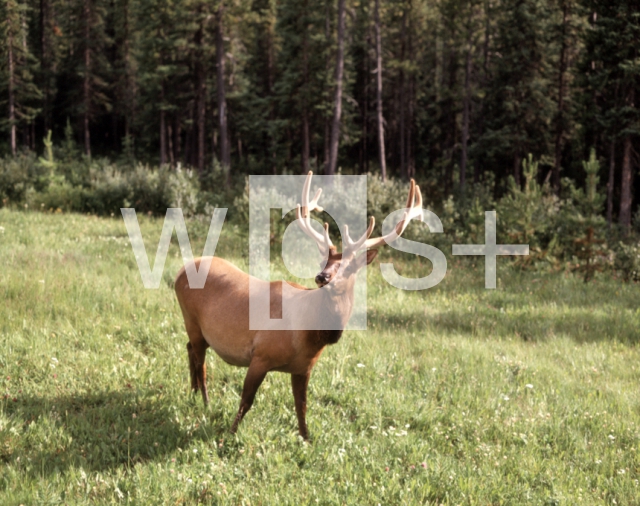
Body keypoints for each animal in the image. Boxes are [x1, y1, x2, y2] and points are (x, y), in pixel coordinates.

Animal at [175, 170, 424, 438]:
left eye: (348, 267)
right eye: (325, 261)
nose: (322, 277)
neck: (307, 335)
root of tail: (180, 272)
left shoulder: (304, 368)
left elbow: (301, 407)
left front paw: (307, 439)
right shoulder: (261, 354)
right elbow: (247, 399)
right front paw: (230, 434)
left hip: (197, 329)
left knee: (190, 349)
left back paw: (193, 395)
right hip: (190, 318)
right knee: (200, 362)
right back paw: (205, 402)